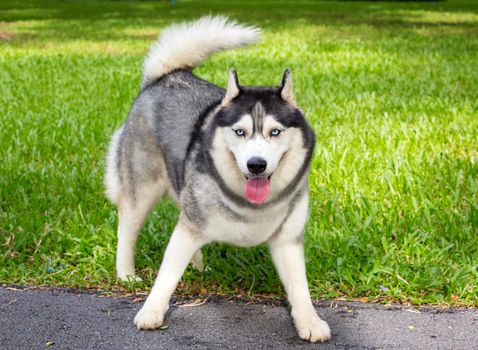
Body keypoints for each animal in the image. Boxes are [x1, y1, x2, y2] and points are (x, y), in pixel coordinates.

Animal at [105, 16, 330, 342]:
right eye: (240, 132)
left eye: (275, 132)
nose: (257, 165)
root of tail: (167, 75)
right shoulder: (188, 225)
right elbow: (166, 274)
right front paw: (151, 311)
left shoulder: (287, 238)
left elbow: (300, 287)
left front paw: (309, 322)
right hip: (142, 188)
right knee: (127, 229)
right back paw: (126, 273)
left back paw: (198, 267)